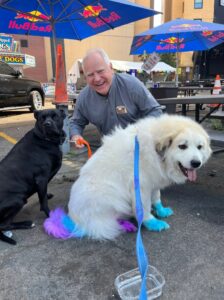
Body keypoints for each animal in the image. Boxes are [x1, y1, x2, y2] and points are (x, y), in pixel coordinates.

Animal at [0, 109, 65, 245]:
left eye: (55, 116)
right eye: (42, 118)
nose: (47, 124)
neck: (46, 139)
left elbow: (43, 195)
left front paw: (47, 195)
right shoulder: (41, 179)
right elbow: (43, 202)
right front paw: (50, 215)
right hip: (18, 199)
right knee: (3, 225)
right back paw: (27, 224)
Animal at [43, 113, 212, 240]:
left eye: (199, 147)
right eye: (182, 146)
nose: (196, 163)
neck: (154, 149)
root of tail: (74, 221)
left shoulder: (153, 181)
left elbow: (156, 197)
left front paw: (161, 210)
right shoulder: (140, 186)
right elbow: (144, 207)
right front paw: (152, 222)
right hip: (112, 196)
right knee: (104, 225)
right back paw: (126, 225)